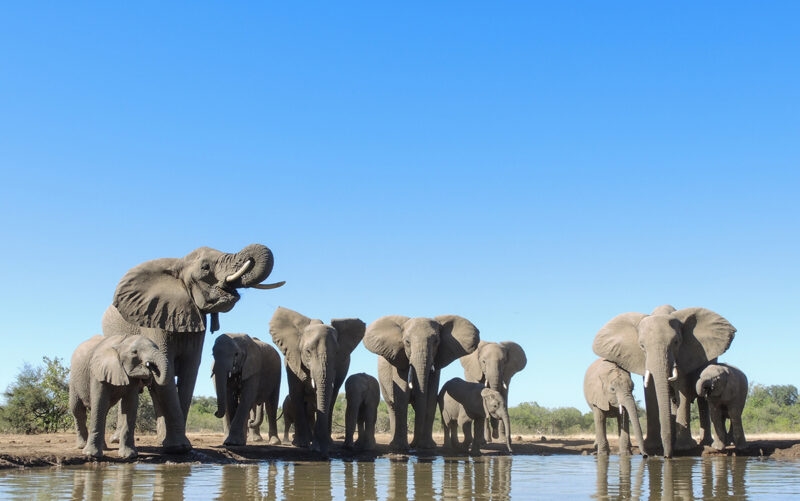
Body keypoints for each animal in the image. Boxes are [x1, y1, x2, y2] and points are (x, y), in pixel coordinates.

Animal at [101, 243, 284, 453]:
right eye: (205, 267)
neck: (178, 264)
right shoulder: (154, 317)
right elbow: (167, 367)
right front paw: (179, 446)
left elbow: (190, 370)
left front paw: (178, 445)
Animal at [269, 306, 365, 456]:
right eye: (308, 351)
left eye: (337, 353)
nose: (321, 450)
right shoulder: (292, 361)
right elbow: (296, 393)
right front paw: (302, 444)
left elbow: (330, 395)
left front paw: (322, 446)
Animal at [363, 315, 480, 451]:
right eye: (407, 342)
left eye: (436, 342)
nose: (414, 445)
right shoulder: (399, 360)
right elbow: (402, 397)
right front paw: (401, 448)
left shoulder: (437, 362)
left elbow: (430, 398)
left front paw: (427, 446)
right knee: (391, 406)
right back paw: (395, 445)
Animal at [592, 305, 736, 457]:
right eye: (642, 346)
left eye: (676, 342)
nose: (666, 456)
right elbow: (650, 392)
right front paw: (654, 446)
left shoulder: (684, 355)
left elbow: (682, 389)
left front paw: (683, 448)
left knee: (702, 400)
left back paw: (704, 443)